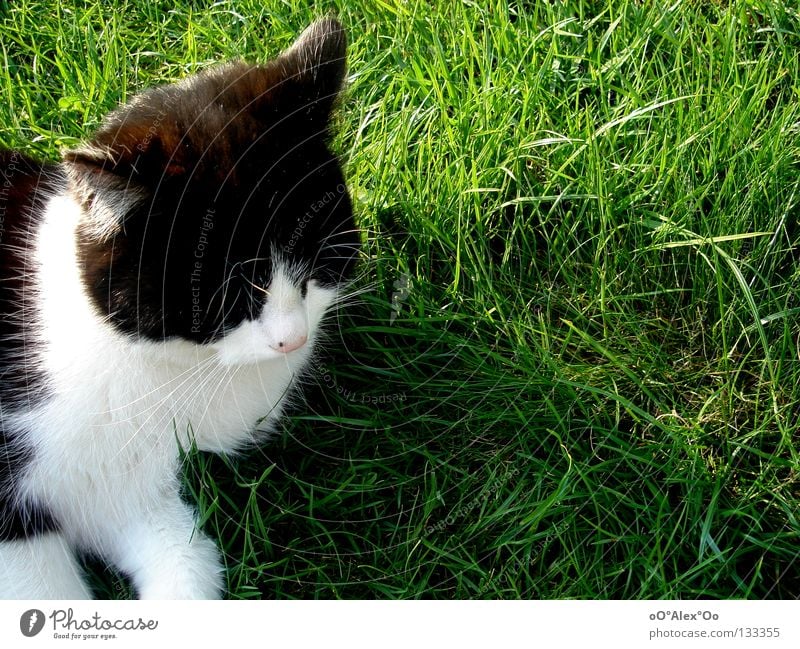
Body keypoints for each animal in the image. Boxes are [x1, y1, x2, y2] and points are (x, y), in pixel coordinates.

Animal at [0, 17, 356, 600]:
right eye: (223, 294)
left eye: (317, 258)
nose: (293, 339)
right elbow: (42, 588)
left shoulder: (125, 492)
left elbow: (188, 560)